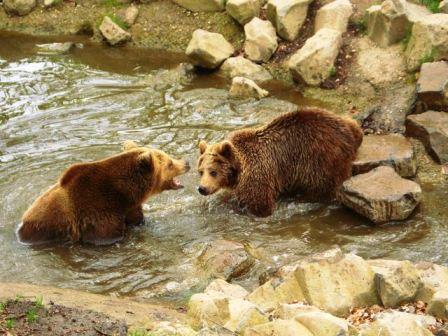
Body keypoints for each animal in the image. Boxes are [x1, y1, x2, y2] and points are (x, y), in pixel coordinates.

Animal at [18, 140, 190, 245]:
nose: (186, 162)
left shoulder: (129, 208)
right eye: (169, 163)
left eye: (168, 156)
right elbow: (109, 235)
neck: (123, 193)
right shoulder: (99, 213)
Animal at [198, 107, 362, 218]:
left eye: (213, 171)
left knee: (322, 186)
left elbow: (260, 204)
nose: (202, 188)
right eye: (200, 171)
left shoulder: (258, 174)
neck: (239, 170)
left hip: (321, 158)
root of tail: (348, 134)